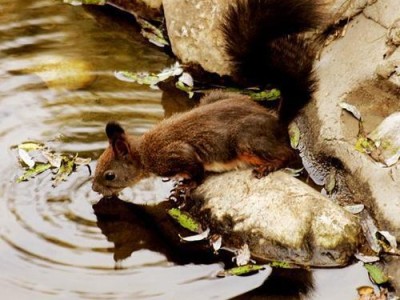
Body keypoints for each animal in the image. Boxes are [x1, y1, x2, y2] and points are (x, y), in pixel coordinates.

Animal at [93, 0, 324, 197]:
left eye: (109, 175)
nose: (95, 189)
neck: (144, 154)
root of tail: (276, 120)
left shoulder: (175, 154)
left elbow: (195, 169)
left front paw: (187, 185)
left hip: (248, 140)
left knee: (289, 155)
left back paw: (269, 165)